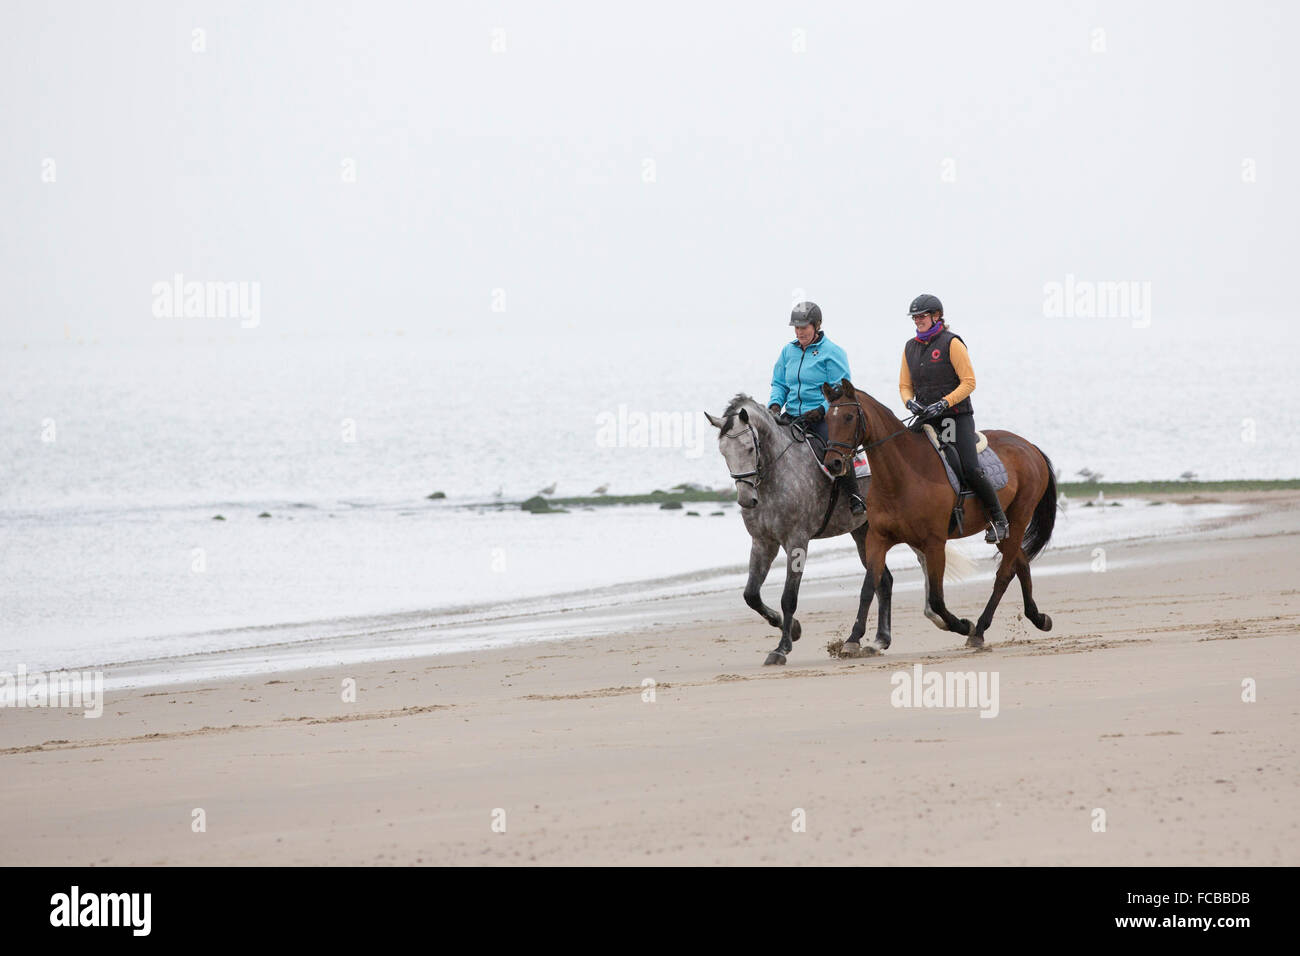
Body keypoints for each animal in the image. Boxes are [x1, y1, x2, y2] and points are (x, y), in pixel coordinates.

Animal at [821, 377, 1055, 655]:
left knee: (1004, 574)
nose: (833, 463)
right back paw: (1038, 618)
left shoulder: (934, 543)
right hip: (1004, 530)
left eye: (848, 417)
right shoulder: (877, 538)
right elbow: (869, 587)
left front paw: (963, 625)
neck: (899, 476)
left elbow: (936, 599)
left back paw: (980, 630)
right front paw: (853, 639)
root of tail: (1029, 446)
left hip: (1018, 519)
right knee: (1021, 563)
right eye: (827, 418)